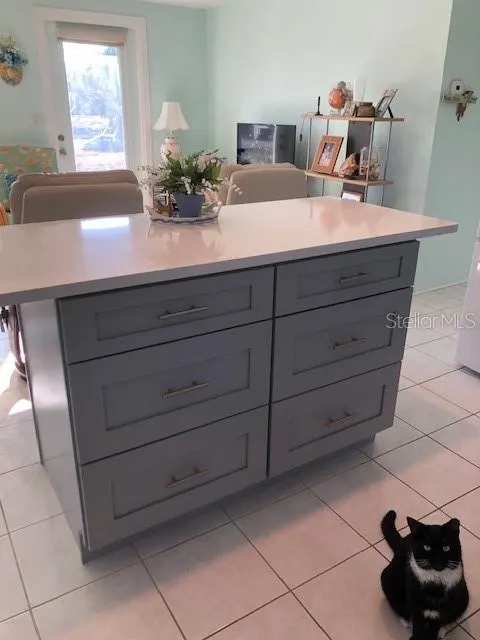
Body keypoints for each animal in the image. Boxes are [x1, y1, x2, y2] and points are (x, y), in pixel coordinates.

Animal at [380, 510, 469, 640]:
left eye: (446, 548)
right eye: (427, 547)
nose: (437, 561)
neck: (435, 581)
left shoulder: (441, 610)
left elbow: (436, 625)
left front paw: (434, 634)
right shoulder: (415, 603)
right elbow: (418, 625)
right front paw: (416, 636)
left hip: (464, 597)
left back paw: (442, 631)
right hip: (389, 580)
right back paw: (406, 621)